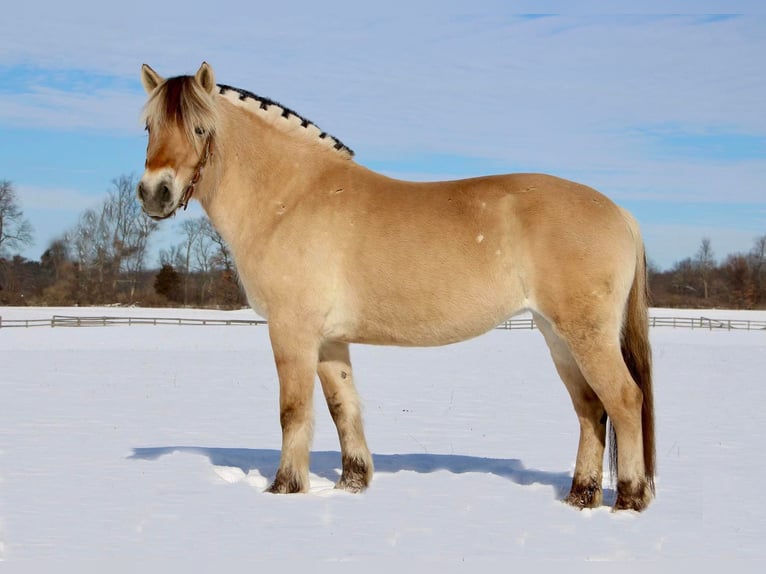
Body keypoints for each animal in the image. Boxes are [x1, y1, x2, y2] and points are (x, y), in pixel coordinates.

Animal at [136, 62, 656, 512]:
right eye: (149, 127)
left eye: (200, 129)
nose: (155, 193)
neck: (292, 197)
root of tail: (619, 212)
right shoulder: (329, 341)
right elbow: (343, 407)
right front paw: (352, 483)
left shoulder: (292, 331)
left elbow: (293, 410)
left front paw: (284, 488)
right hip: (556, 335)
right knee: (591, 408)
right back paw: (580, 497)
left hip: (586, 334)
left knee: (624, 400)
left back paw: (628, 499)